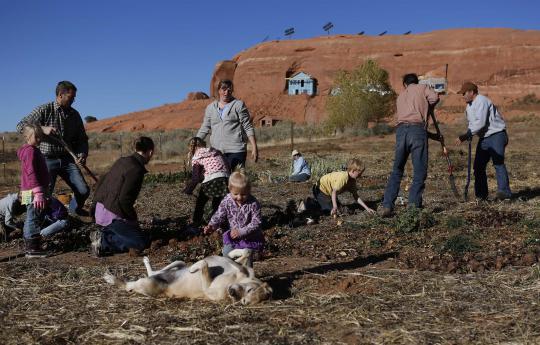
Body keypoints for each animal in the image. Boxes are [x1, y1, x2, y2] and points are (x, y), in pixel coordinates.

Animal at [103, 247, 272, 304]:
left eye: (244, 301)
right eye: (249, 290)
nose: (232, 293)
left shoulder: (209, 288)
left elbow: (204, 263)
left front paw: (196, 267)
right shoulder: (243, 267)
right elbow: (247, 251)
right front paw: (233, 253)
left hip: (146, 284)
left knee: (128, 286)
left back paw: (111, 279)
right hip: (179, 263)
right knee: (158, 270)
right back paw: (146, 261)